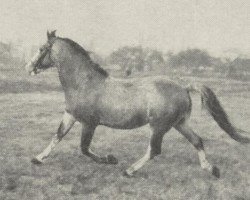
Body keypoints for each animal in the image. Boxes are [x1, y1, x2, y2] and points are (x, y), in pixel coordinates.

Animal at [24, 30, 249, 177]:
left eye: (42, 49)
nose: (28, 67)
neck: (84, 82)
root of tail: (183, 87)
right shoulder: (70, 115)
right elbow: (57, 136)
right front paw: (38, 158)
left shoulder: (89, 123)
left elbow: (84, 148)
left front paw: (110, 159)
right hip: (179, 124)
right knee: (197, 141)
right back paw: (212, 169)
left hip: (159, 126)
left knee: (155, 149)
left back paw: (129, 170)